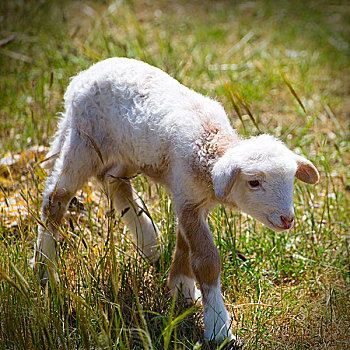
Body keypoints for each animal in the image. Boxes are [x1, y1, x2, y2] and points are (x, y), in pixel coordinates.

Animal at [33, 56, 320, 342]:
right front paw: (218, 327)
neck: (209, 145)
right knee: (56, 198)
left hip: (127, 151)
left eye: (291, 180)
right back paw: (45, 270)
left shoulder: (190, 198)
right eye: (254, 182)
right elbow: (206, 261)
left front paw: (182, 289)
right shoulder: (188, 199)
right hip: (84, 141)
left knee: (115, 182)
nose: (287, 219)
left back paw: (149, 242)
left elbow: (185, 245)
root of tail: (82, 77)